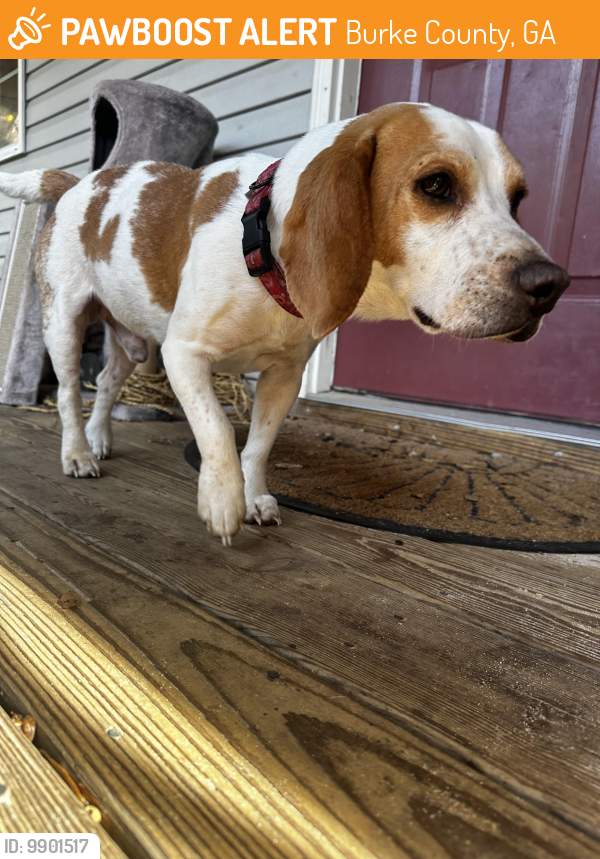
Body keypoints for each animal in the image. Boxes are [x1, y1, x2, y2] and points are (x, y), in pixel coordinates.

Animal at [0, 102, 568, 544]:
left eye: (517, 199)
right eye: (436, 185)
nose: (553, 285)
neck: (260, 245)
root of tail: (77, 184)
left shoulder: (284, 376)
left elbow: (257, 445)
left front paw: (253, 497)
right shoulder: (184, 355)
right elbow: (217, 431)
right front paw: (222, 500)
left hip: (132, 342)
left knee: (106, 384)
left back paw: (99, 438)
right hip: (65, 325)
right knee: (70, 394)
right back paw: (78, 453)